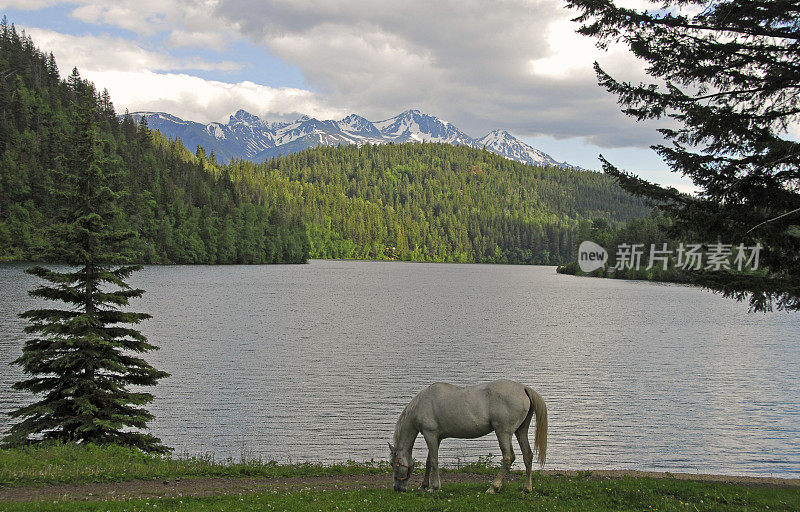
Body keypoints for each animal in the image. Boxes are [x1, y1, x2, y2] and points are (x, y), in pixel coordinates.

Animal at [386, 380, 548, 492]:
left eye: (393, 464)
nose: (397, 488)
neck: (422, 403)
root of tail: (523, 388)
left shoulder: (429, 434)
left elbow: (434, 461)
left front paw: (434, 487)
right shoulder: (436, 437)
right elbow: (429, 462)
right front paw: (423, 486)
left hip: (503, 432)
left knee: (508, 457)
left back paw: (493, 487)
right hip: (521, 431)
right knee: (527, 455)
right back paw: (526, 489)